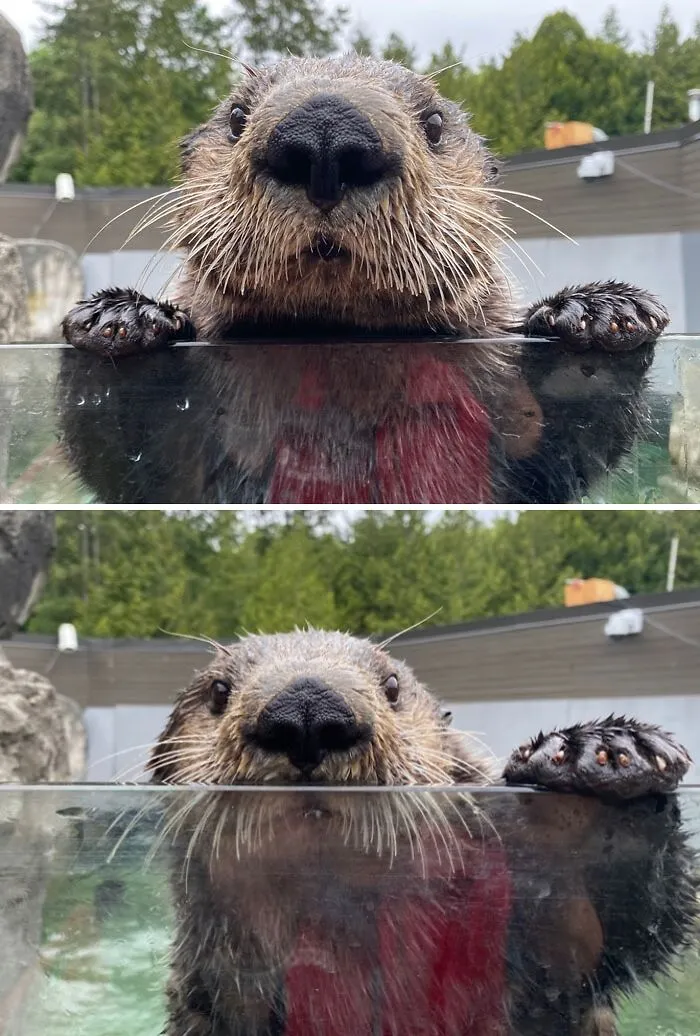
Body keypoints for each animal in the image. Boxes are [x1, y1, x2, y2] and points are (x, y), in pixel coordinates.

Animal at [59, 55, 668, 504]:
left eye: (434, 124)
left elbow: (559, 457)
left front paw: (600, 312)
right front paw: (123, 317)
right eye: (236, 116)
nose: (325, 130)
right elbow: (131, 467)